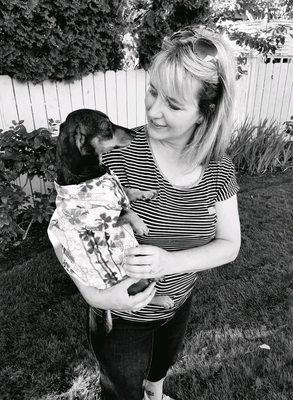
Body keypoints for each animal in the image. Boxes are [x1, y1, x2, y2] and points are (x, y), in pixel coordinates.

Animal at [48, 108, 173, 330]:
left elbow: (129, 191)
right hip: (136, 279)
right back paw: (162, 296)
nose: (133, 133)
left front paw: (146, 193)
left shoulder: (119, 189)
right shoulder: (102, 221)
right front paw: (140, 225)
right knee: (140, 301)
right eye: (107, 127)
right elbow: (126, 211)